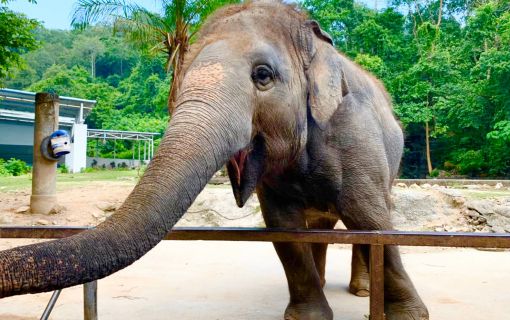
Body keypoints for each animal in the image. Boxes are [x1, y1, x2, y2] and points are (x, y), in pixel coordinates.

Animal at [0, 1, 428, 318]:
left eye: (263, 75)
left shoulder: (355, 134)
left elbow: (371, 218)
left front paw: (409, 316)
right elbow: (284, 227)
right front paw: (308, 317)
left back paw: (362, 291)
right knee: (319, 227)